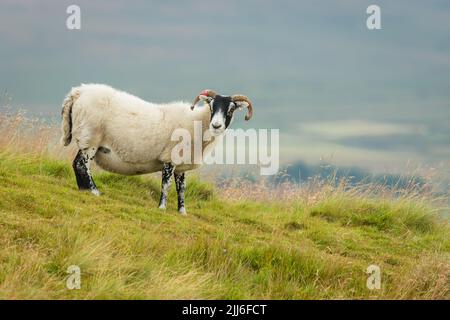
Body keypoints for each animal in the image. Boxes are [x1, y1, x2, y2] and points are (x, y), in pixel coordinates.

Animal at [59, 84, 253, 216]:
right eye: (212, 106)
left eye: (231, 109)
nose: (216, 125)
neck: (197, 123)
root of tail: (78, 92)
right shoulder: (170, 159)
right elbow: (166, 185)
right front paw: (162, 207)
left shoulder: (181, 165)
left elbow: (181, 188)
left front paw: (182, 211)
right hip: (90, 137)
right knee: (81, 165)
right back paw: (94, 191)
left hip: (87, 139)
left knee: (77, 164)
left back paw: (83, 190)